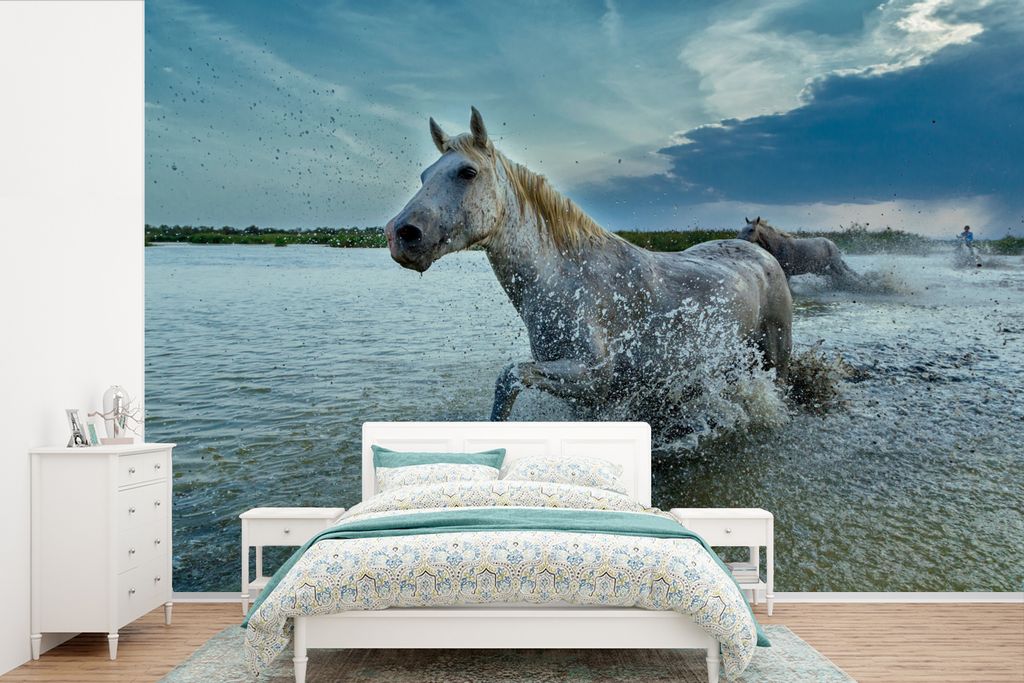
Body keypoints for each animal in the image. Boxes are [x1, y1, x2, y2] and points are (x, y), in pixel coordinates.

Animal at [386, 108, 793, 422]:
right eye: (424, 176)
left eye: (467, 172)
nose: (400, 234)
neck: (567, 279)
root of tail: (760, 254)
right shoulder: (585, 397)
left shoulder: (593, 377)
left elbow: (509, 377)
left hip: (777, 357)